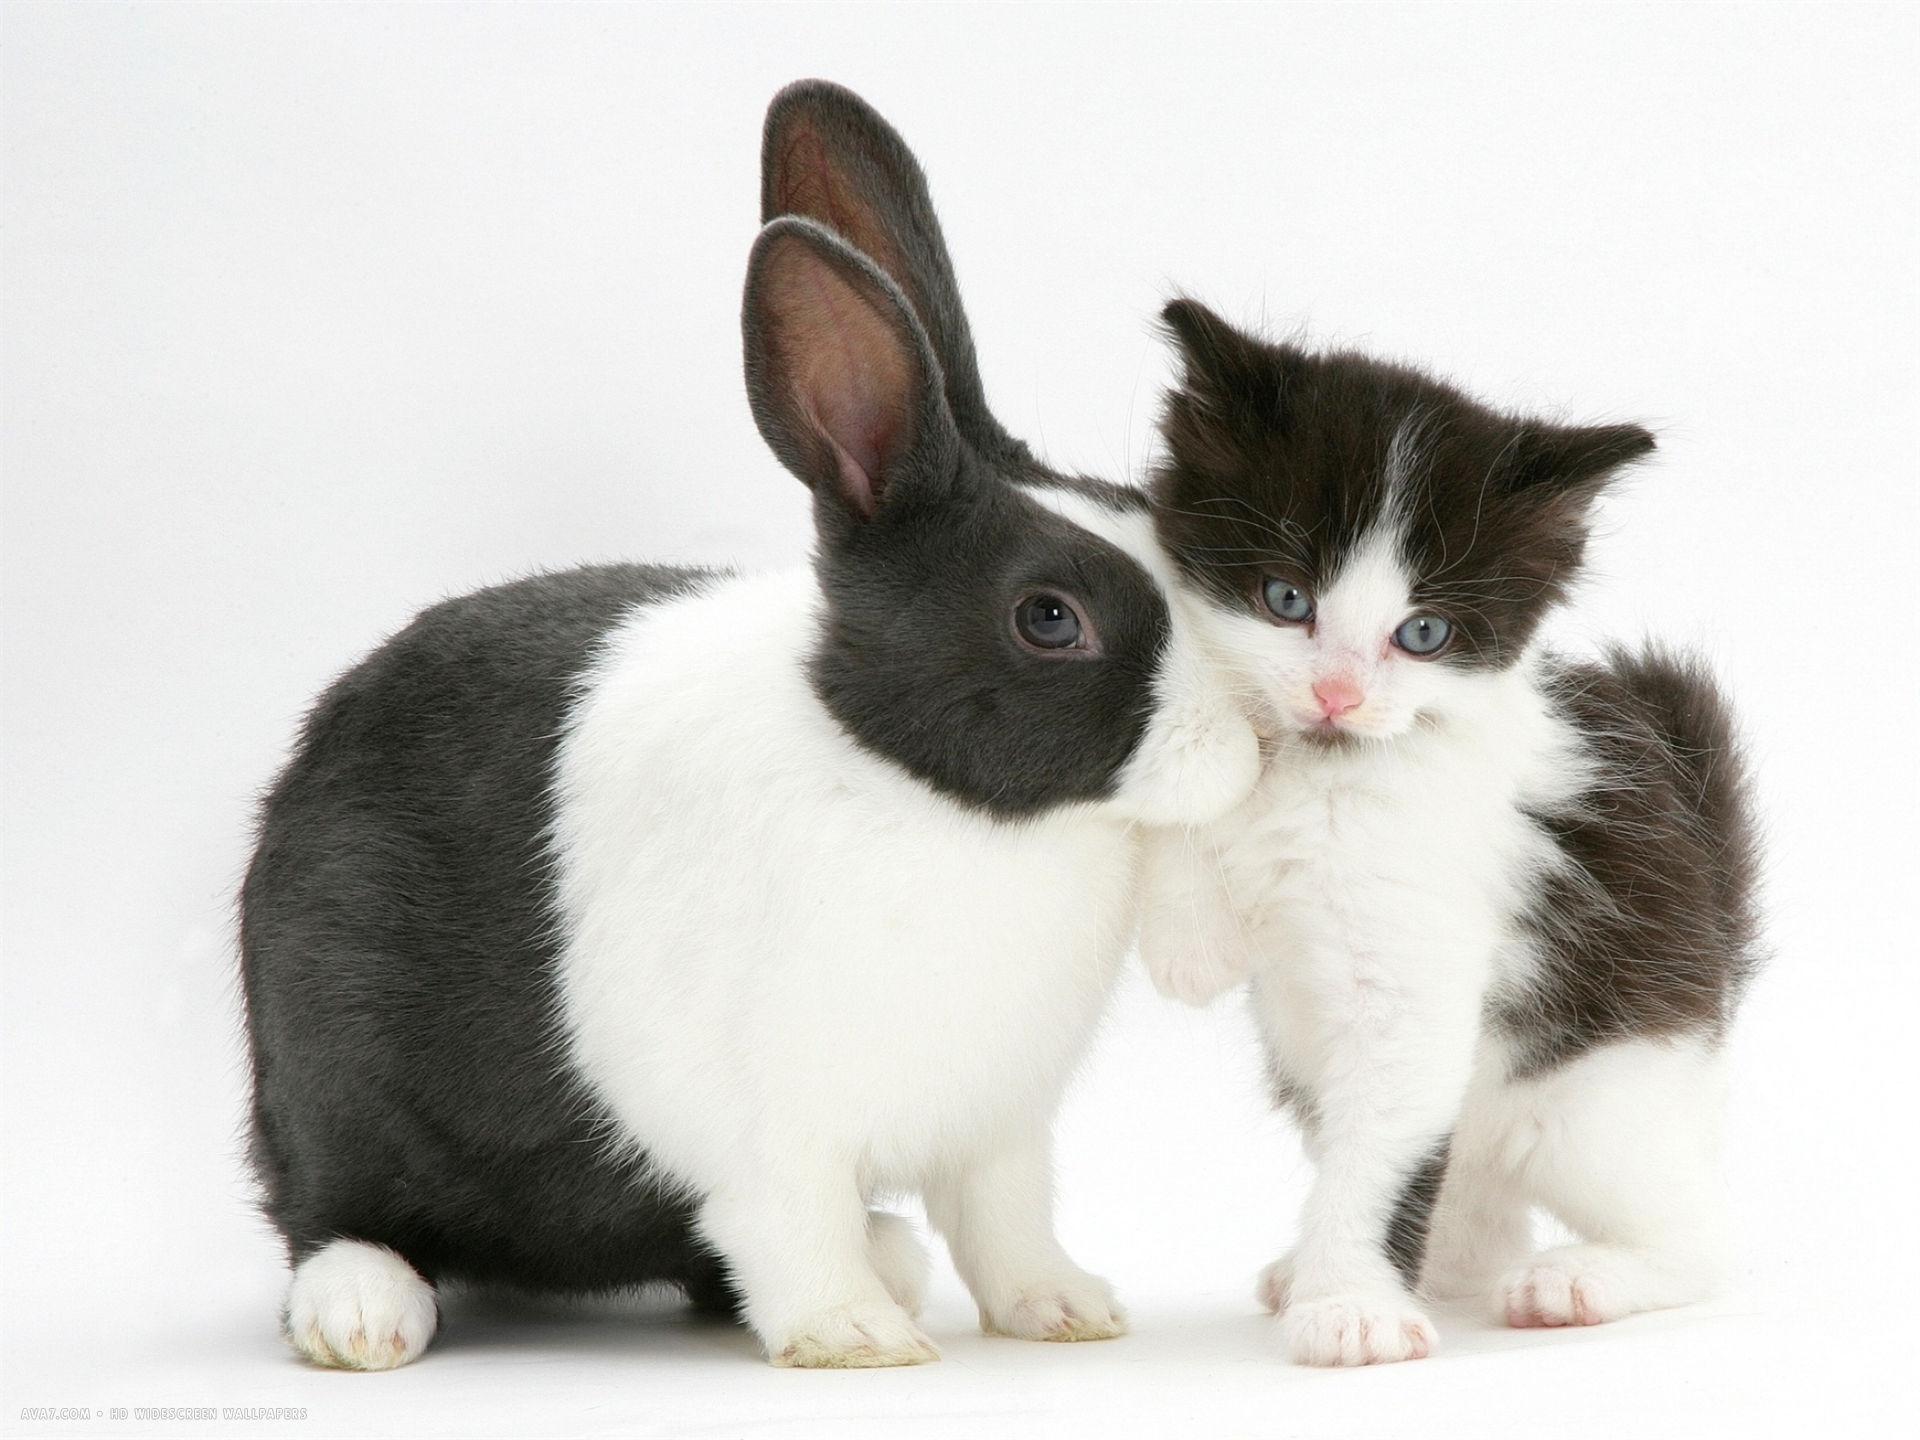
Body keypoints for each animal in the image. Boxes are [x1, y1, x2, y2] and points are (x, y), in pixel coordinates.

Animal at [239, 79, 1261, 1373]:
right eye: (1049, 618)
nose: (1250, 745)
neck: (923, 793)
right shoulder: (770, 1130)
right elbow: (792, 1226)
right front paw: (854, 1339)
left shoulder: (1001, 1125)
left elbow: (1006, 1223)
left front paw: (1067, 1311)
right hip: (330, 1077)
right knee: (330, 1214)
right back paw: (365, 1314)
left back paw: (892, 1256)